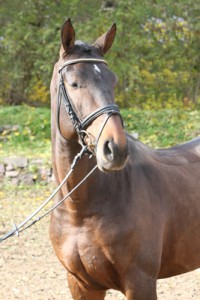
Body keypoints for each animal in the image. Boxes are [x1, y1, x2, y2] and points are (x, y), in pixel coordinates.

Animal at [49, 19, 200, 300]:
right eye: (74, 83)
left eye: (113, 81)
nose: (115, 148)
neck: (81, 211)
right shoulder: (82, 285)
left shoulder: (140, 281)